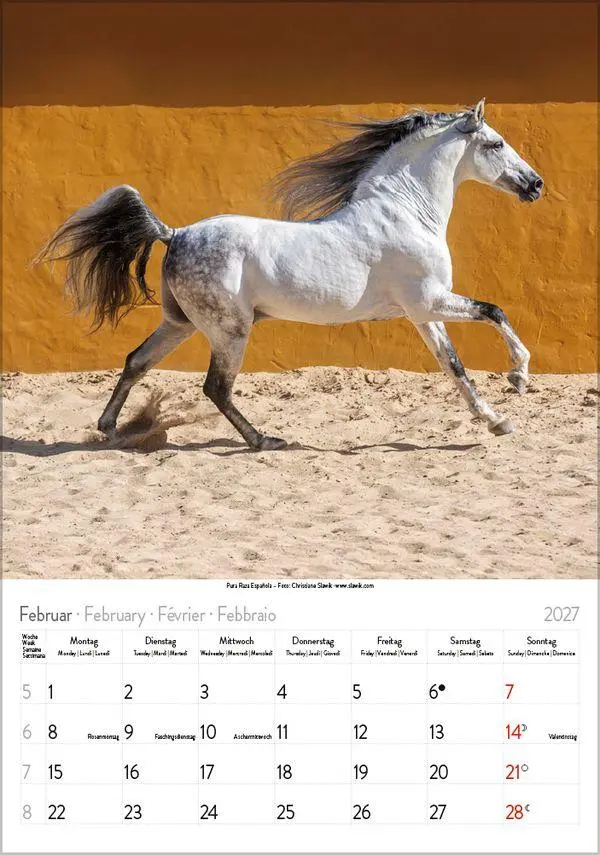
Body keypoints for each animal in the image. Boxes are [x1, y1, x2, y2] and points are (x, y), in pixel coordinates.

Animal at [35, 98, 543, 450]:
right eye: (495, 143)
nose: (535, 185)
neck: (404, 211)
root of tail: (174, 233)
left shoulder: (423, 312)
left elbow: (453, 365)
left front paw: (497, 421)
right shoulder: (431, 299)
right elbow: (494, 311)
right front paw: (518, 378)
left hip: (179, 324)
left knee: (136, 362)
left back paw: (108, 429)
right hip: (229, 330)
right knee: (215, 387)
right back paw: (264, 440)